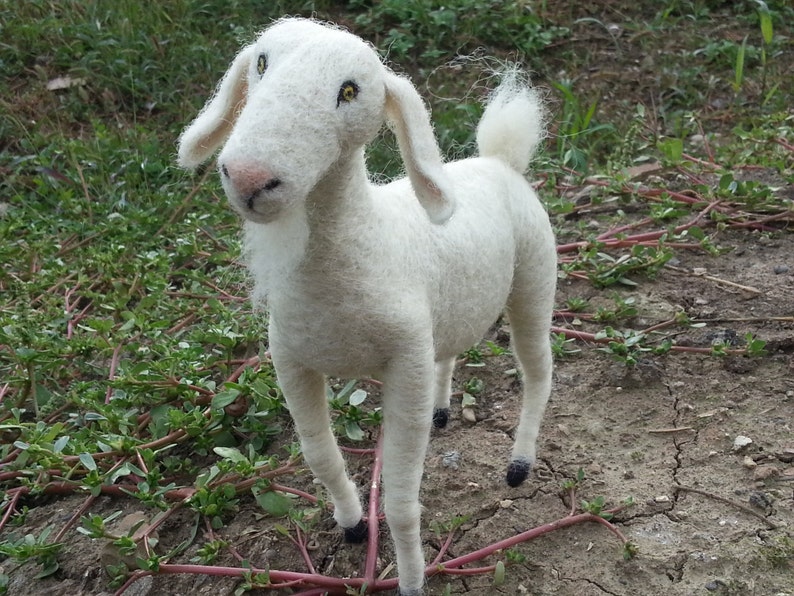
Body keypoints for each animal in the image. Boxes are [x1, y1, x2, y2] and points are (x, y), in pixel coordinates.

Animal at [177, 17, 552, 596]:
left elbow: (399, 499)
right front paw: (352, 525)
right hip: (450, 310)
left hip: (534, 280)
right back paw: (444, 412)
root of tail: (499, 161)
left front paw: (413, 580)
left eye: (349, 91)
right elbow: (319, 455)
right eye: (260, 62)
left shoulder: (405, 365)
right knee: (451, 349)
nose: (249, 178)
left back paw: (519, 465)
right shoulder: (291, 360)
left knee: (538, 372)